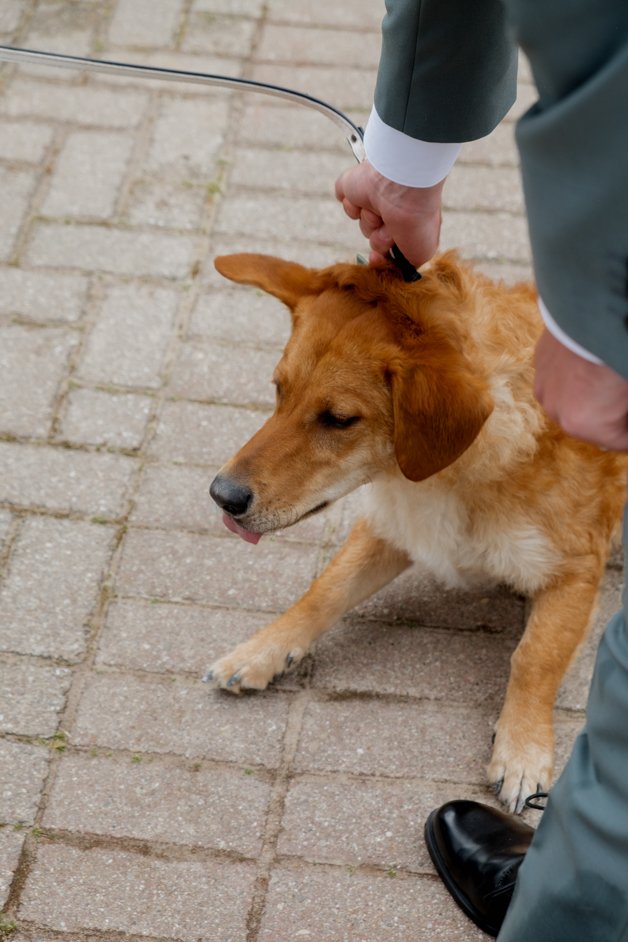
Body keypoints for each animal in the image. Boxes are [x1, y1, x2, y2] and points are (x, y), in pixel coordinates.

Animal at [206, 251, 628, 812]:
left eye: (339, 419)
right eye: (279, 389)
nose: (222, 496)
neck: (453, 478)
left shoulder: (575, 572)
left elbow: (534, 658)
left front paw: (522, 750)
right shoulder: (396, 526)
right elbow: (324, 591)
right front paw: (262, 650)